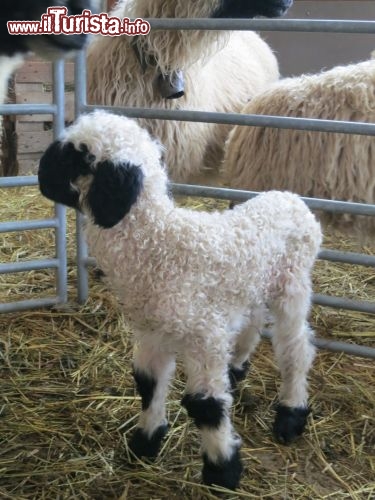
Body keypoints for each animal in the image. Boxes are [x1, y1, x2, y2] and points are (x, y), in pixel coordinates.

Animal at [38, 110, 324, 492]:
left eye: (79, 155)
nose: (39, 173)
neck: (160, 244)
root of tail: (291, 198)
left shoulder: (203, 337)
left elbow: (205, 406)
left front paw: (222, 471)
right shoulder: (151, 334)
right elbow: (147, 384)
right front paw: (144, 444)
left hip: (292, 284)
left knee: (296, 349)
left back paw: (291, 415)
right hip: (251, 287)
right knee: (252, 325)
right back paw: (236, 368)